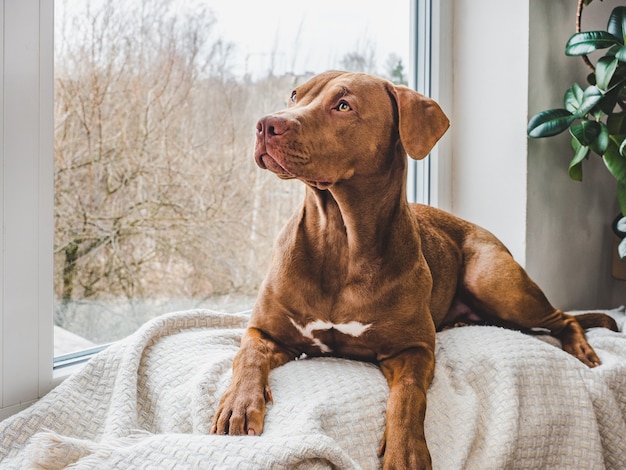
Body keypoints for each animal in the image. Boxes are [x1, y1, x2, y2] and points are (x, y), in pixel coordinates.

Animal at [208, 71, 616, 468]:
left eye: (343, 105)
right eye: (295, 96)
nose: (266, 125)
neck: (340, 239)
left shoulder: (413, 350)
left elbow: (408, 397)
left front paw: (406, 451)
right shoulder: (267, 332)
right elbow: (247, 357)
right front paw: (239, 405)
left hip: (497, 285)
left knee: (565, 316)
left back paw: (582, 349)